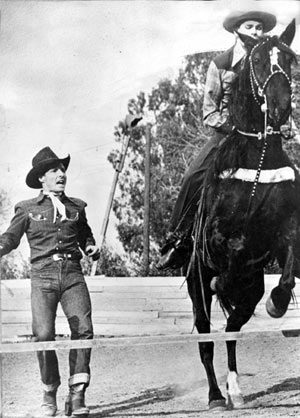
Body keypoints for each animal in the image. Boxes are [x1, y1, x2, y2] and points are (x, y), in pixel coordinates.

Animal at [188, 20, 300, 412]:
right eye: (259, 60)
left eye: (289, 58)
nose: (280, 107)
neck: (258, 159)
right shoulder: (217, 239)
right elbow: (234, 246)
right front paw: (224, 281)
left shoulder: (283, 234)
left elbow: (288, 267)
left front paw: (277, 304)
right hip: (196, 285)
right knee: (207, 340)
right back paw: (215, 396)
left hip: (250, 291)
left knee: (232, 330)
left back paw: (234, 390)